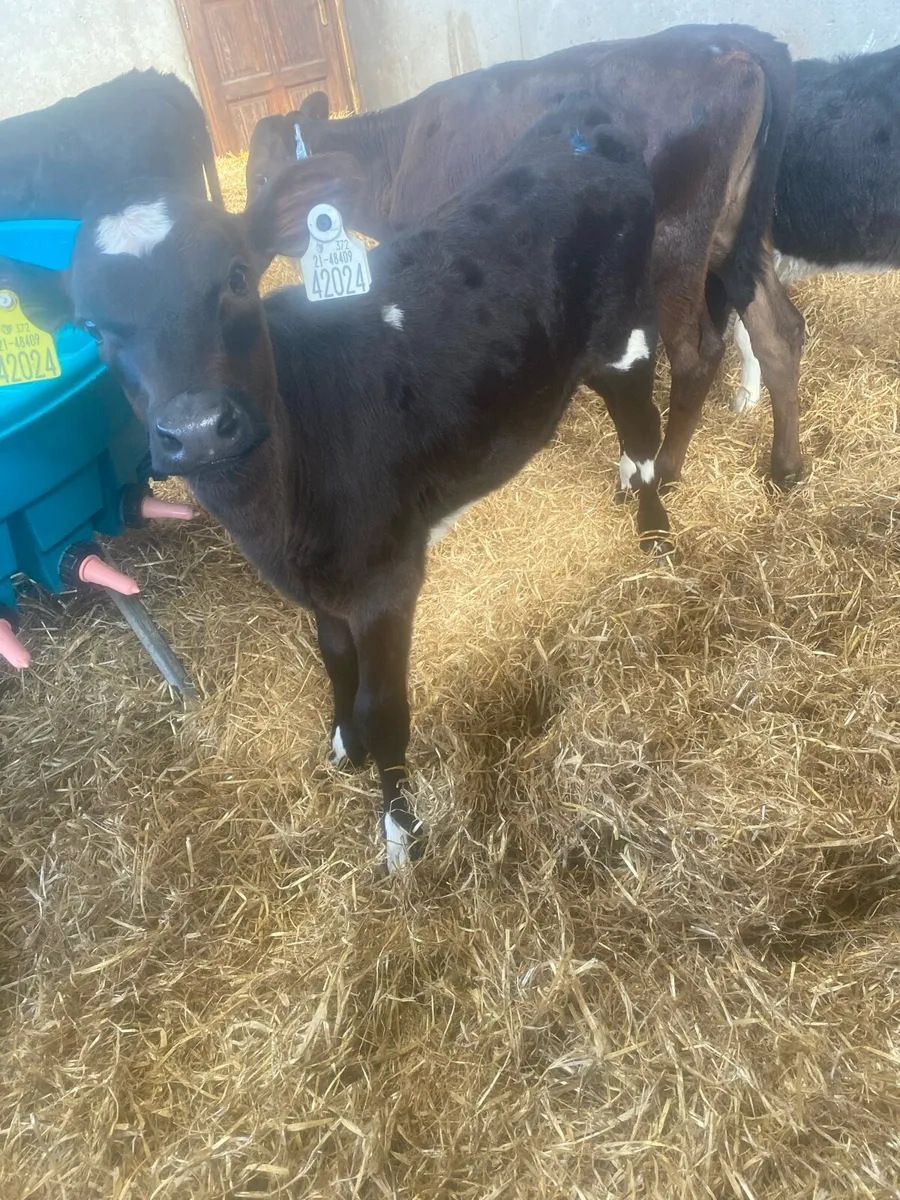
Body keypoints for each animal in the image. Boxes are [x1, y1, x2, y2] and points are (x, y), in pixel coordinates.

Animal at [2, 102, 666, 870]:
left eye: (236, 275)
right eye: (90, 324)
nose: (196, 430)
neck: (280, 515)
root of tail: (582, 124)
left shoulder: (386, 582)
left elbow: (387, 711)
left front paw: (399, 834)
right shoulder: (319, 585)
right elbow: (334, 662)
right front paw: (342, 742)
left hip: (627, 337)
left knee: (645, 432)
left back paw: (655, 533)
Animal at [246, 24, 806, 492]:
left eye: (261, 178)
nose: (245, 249)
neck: (394, 158)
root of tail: (739, 48)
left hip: (675, 242)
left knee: (697, 356)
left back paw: (662, 472)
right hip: (733, 230)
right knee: (779, 331)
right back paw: (786, 468)